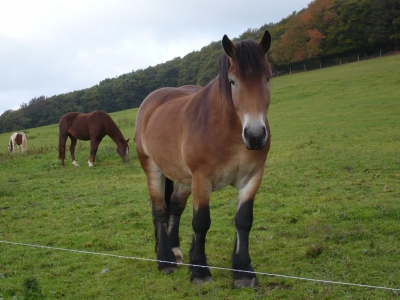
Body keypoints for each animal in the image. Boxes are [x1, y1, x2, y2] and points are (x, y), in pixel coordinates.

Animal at [134, 29, 272, 286]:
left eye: (267, 78)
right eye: (232, 81)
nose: (255, 136)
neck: (228, 130)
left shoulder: (253, 177)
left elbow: (243, 220)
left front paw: (243, 271)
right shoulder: (201, 180)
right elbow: (201, 222)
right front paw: (199, 270)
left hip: (183, 179)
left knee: (175, 208)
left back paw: (176, 251)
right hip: (154, 169)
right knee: (159, 210)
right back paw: (165, 260)